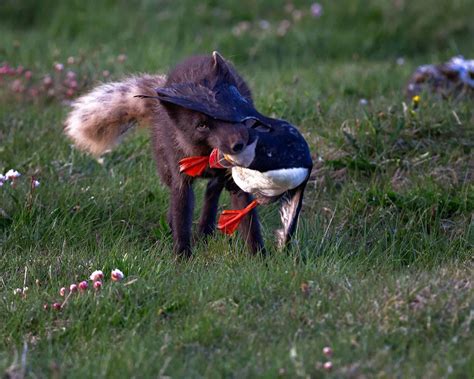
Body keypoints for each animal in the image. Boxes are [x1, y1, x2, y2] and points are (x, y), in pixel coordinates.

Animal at [65, 52, 264, 256]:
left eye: (232, 108)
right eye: (202, 125)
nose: (238, 145)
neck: (206, 155)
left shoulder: (236, 180)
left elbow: (249, 222)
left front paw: (258, 256)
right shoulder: (181, 179)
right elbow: (181, 219)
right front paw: (182, 257)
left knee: (212, 189)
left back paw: (204, 230)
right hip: (165, 169)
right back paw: (181, 230)